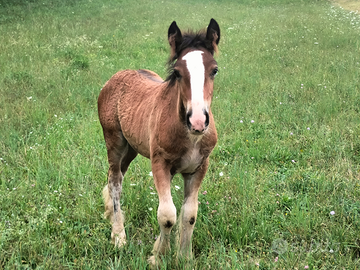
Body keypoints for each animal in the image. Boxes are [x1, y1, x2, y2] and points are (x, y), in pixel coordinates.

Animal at [98, 19, 221, 266]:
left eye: (214, 70)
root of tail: (114, 78)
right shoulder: (160, 163)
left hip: (132, 148)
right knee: (115, 181)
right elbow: (167, 216)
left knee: (116, 178)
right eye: (177, 72)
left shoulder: (198, 168)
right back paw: (119, 236)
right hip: (114, 142)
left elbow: (189, 215)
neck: (190, 136)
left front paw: (185, 257)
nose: (197, 121)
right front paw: (158, 257)